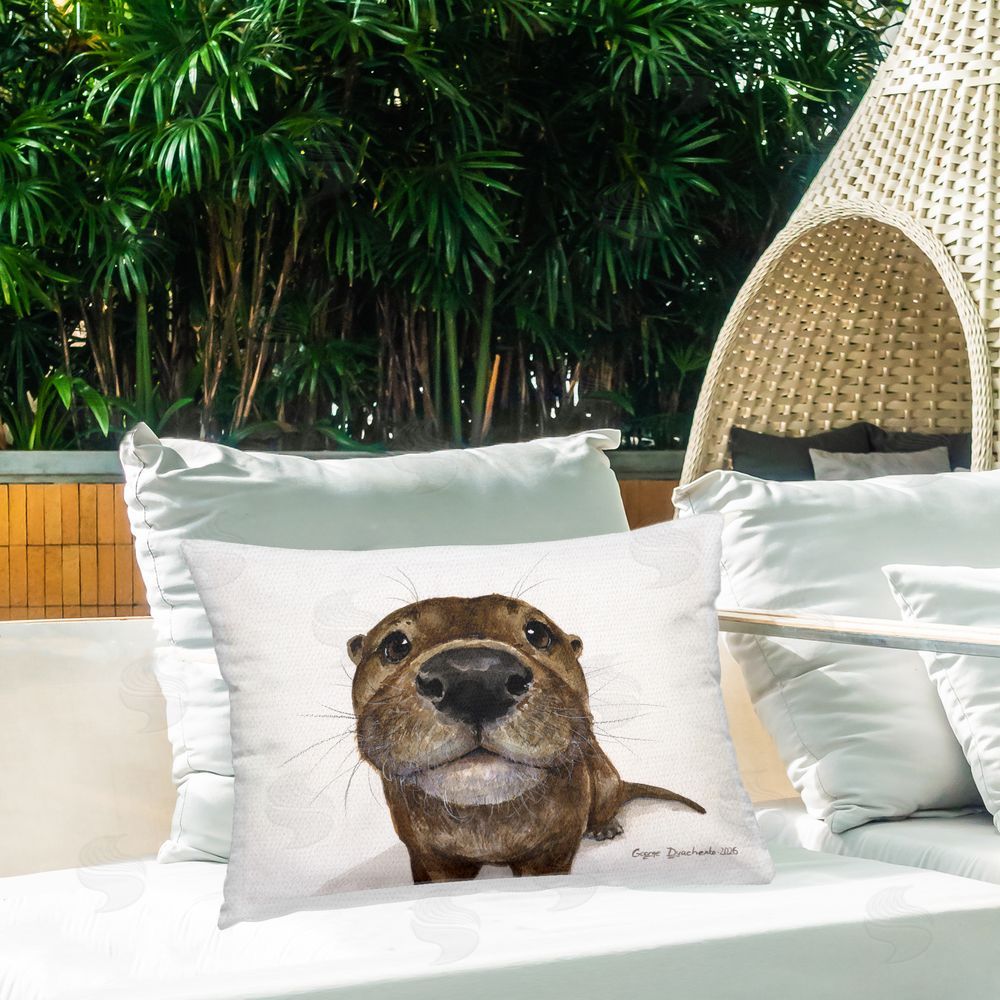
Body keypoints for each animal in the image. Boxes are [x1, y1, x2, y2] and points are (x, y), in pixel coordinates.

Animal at [347, 594, 705, 884]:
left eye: (539, 633)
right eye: (395, 644)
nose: (475, 675)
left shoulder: (555, 847)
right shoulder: (426, 853)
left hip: (605, 777)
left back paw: (605, 827)